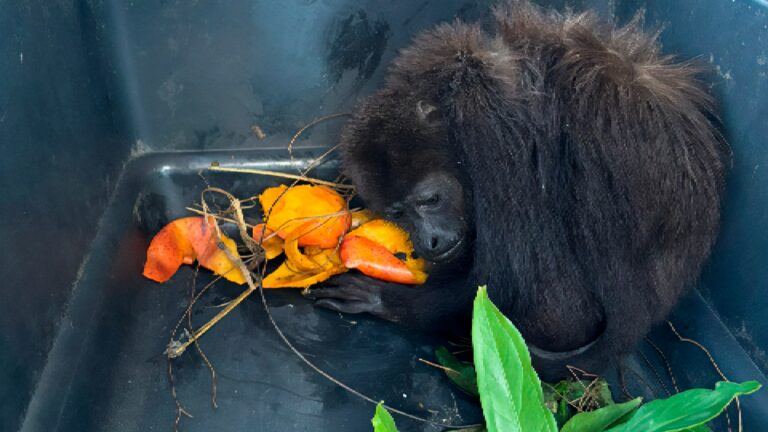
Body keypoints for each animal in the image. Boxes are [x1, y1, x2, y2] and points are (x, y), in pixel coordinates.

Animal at [308, 1, 727, 381]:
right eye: (397, 213)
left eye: (429, 200)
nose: (429, 241)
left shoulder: (489, 132)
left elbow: (508, 287)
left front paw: (387, 302)